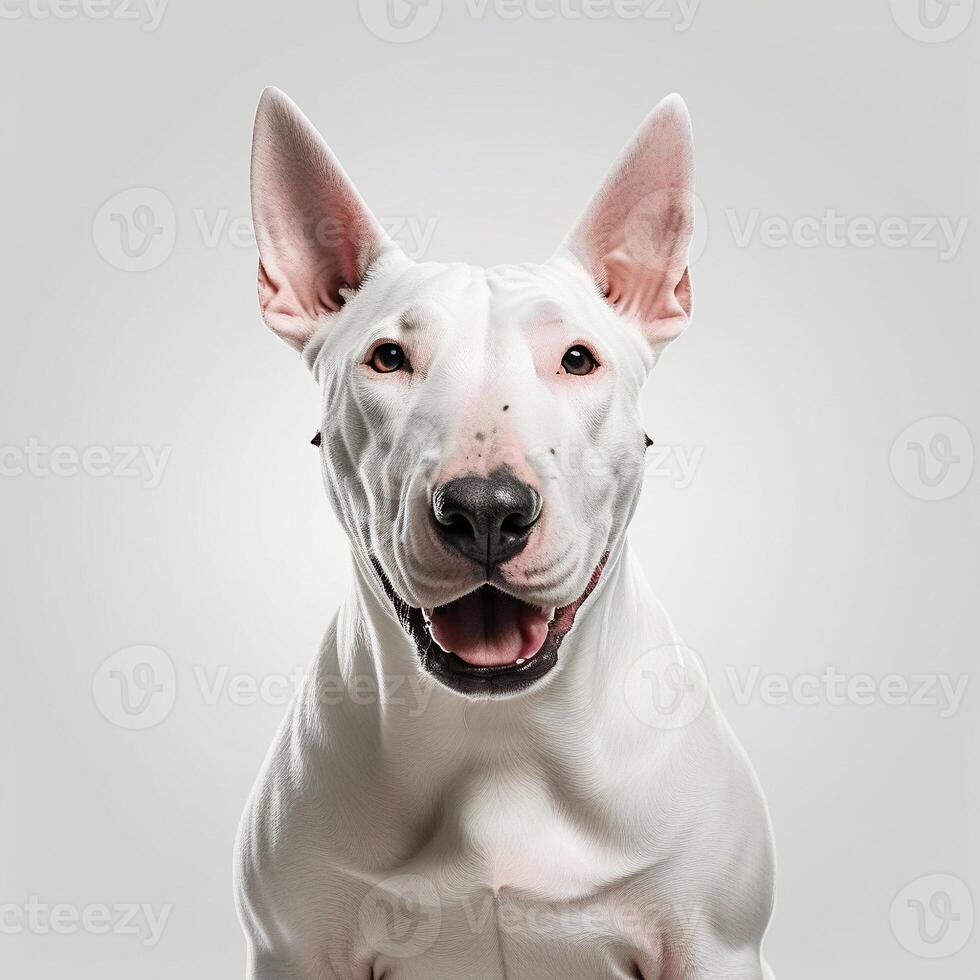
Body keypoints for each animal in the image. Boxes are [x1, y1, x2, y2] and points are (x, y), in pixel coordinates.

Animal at [234, 86, 776, 980]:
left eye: (578, 358)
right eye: (388, 357)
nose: (486, 509)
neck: (501, 741)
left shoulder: (713, 945)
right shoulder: (293, 950)